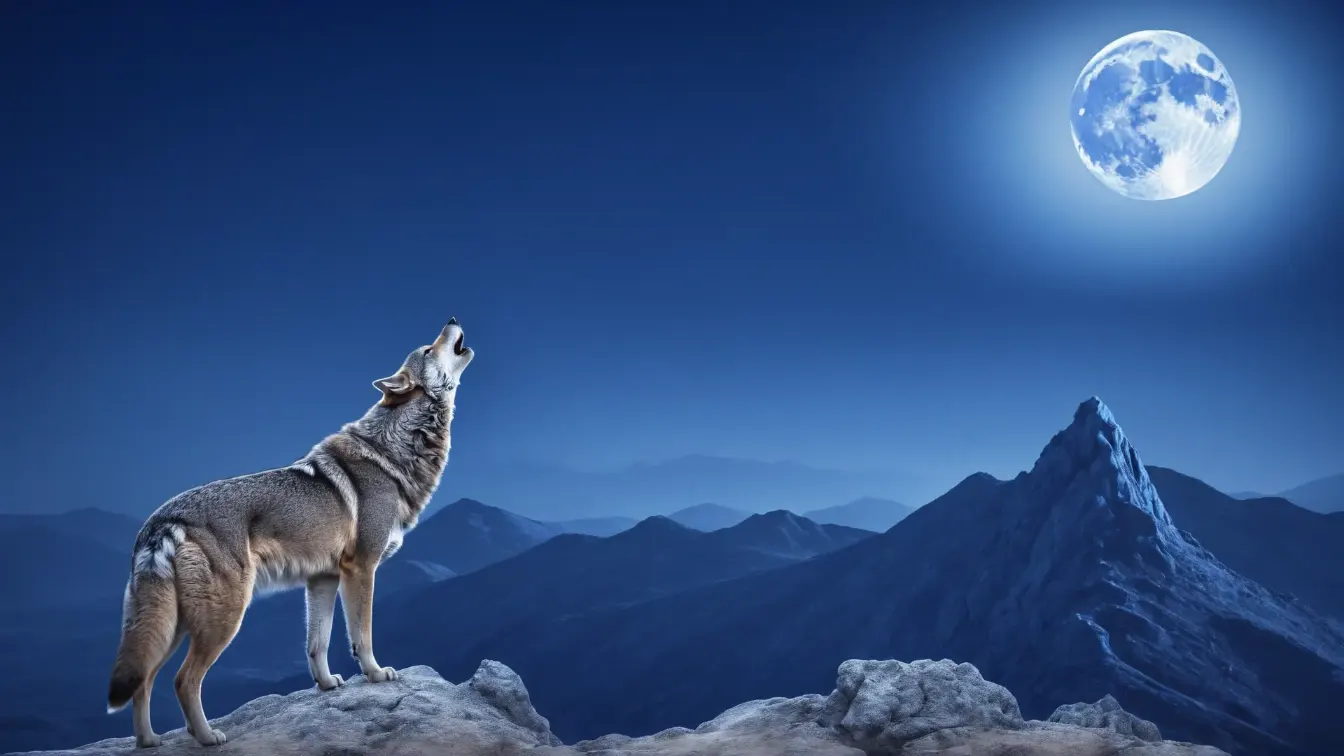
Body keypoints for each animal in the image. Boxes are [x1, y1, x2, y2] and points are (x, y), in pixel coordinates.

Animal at [106, 319, 475, 747]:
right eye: (428, 350)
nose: (451, 320)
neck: (395, 450)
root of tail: (161, 520)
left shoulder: (323, 579)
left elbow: (317, 644)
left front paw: (327, 685)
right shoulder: (362, 568)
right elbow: (362, 634)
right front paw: (376, 674)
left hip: (173, 625)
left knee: (144, 680)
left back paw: (149, 741)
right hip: (221, 620)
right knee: (183, 680)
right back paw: (207, 736)